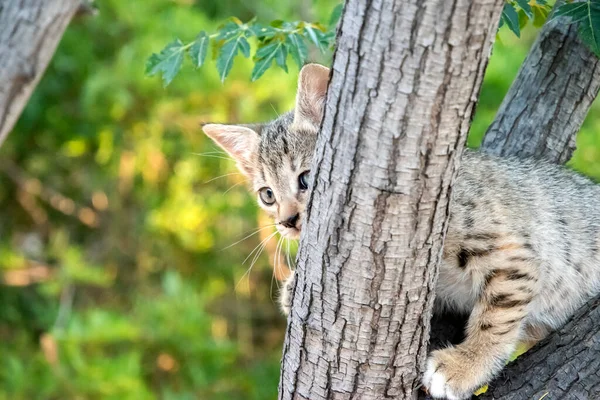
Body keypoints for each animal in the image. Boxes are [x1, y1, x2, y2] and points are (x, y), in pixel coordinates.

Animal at [202, 64, 600, 398]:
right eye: (267, 195)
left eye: (306, 178)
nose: (287, 222)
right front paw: (293, 287)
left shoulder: (513, 249)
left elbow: (497, 316)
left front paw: (465, 366)